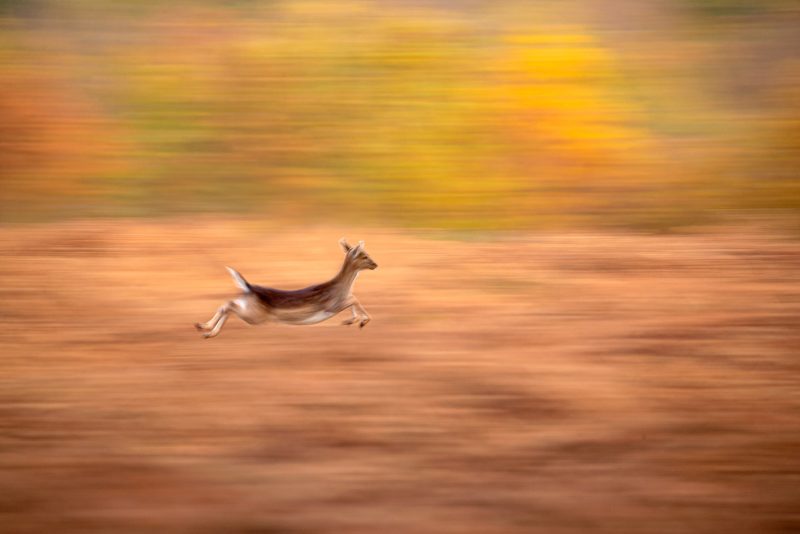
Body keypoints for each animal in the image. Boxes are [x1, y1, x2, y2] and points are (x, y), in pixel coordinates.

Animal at [196, 239, 378, 340]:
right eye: (364, 255)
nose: (375, 264)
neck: (340, 287)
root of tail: (248, 288)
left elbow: (353, 299)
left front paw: (352, 321)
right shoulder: (331, 306)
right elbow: (354, 299)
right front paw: (360, 321)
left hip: (247, 308)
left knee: (227, 303)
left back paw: (203, 328)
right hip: (254, 316)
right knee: (229, 306)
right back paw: (207, 330)